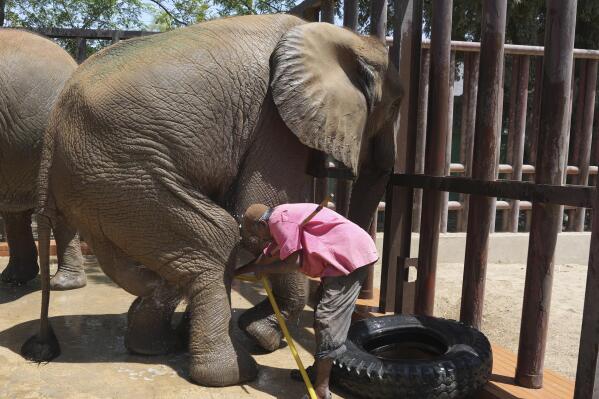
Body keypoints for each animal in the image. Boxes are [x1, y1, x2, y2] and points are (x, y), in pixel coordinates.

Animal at [25, 14, 406, 388]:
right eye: (394, 106)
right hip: (122, 170)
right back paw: (232, 373)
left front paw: (254, 331)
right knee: (216, 239)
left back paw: (155, 342)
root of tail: (53, 126)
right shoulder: (275, 123)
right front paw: (263, 336)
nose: (308, 373)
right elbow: (264, 202)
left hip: (102, 189)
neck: (341, 37)